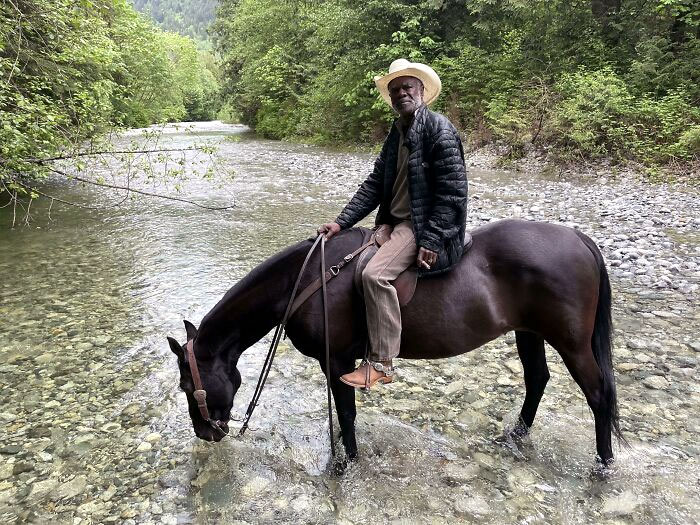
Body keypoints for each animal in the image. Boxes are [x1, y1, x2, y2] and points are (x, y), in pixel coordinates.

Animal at [168, 219, 624, 464]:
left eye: (187, 386)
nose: (206, 434)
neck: (309, 280)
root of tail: (580, 240)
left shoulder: (337, 362)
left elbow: (346, 414)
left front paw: (347, 463)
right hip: (530, 333)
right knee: (537, 380)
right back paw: (515, 436)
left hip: (572, 343)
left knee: (599, 394)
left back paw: (603, 463)